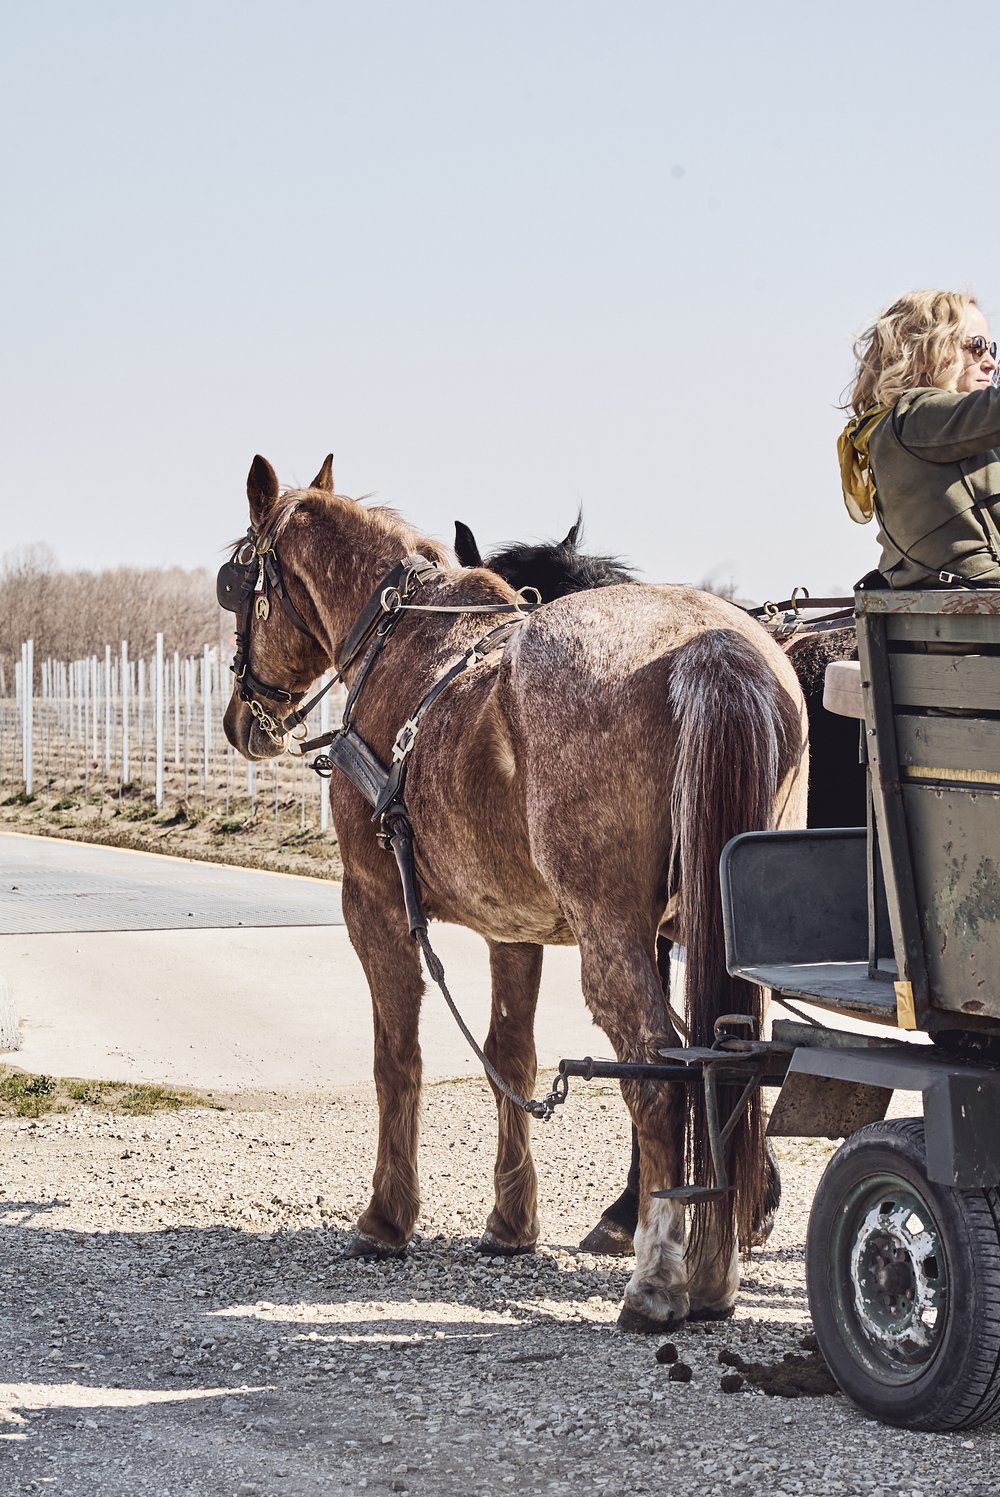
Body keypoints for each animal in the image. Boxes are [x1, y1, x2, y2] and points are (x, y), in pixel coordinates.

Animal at [223, 455, 808, 1335]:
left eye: (239, 583)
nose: (241, 720)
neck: (399, 642)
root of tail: (712, 647)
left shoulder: (372, 904)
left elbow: (396, 1058)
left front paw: (385, 1218)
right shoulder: (517, 928)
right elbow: (511, 1054)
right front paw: (509, 1221)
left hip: (612, 936)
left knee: (657, 1074)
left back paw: (658, 1277)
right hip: (727, 932)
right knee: (728, 1064)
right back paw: (712, 1271)